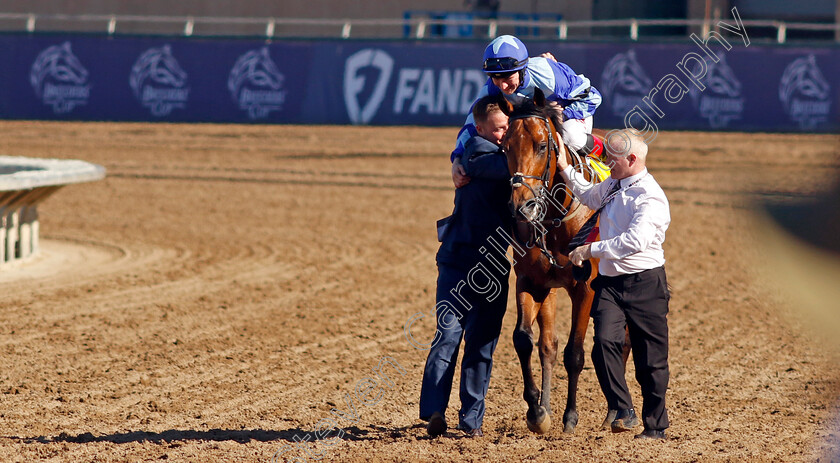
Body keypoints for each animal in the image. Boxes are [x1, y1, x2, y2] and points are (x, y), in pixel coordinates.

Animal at [496, 90, 628, 436]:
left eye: (542, 145)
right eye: (505, 146)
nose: (521, 206)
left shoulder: (586, 289)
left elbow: (576, 353)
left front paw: (570, 417)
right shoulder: (530, 282)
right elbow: (525, 341)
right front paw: (537, 411)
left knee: (620, 343)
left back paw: (615, 412)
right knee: (548, 345)